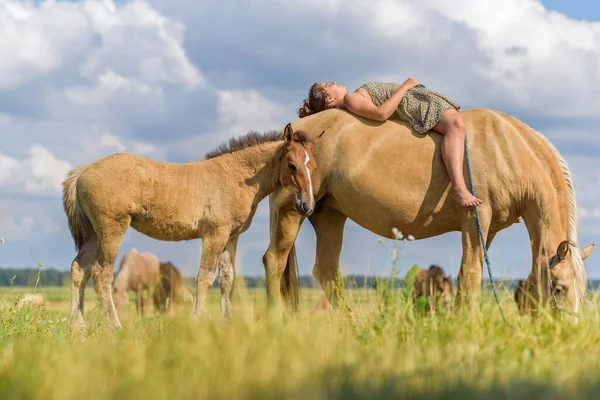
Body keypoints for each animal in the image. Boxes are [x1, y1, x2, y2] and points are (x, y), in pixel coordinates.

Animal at [62, 124, 318, 332]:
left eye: (313, 166)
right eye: (292, 165)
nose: (307, 205)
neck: (235, 177)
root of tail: (83, 171)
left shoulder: (231, 237)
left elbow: (227, 279)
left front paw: (227, 326)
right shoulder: (215, 234)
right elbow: (205, 277)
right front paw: (197, 322)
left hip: (93, 234)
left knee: (79, 270)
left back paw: (78, 328)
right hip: (112, 229)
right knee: (101, 273)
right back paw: (114, 327)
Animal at [262, 108, 596, 320]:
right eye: (560, 288)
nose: (568, 331)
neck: (507, 150)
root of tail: (287, 136)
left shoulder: (487, 230)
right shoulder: (475, 220)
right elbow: (470, 276)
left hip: (329, 214)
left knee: (326, 271)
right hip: (292, 211)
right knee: (274, 261)